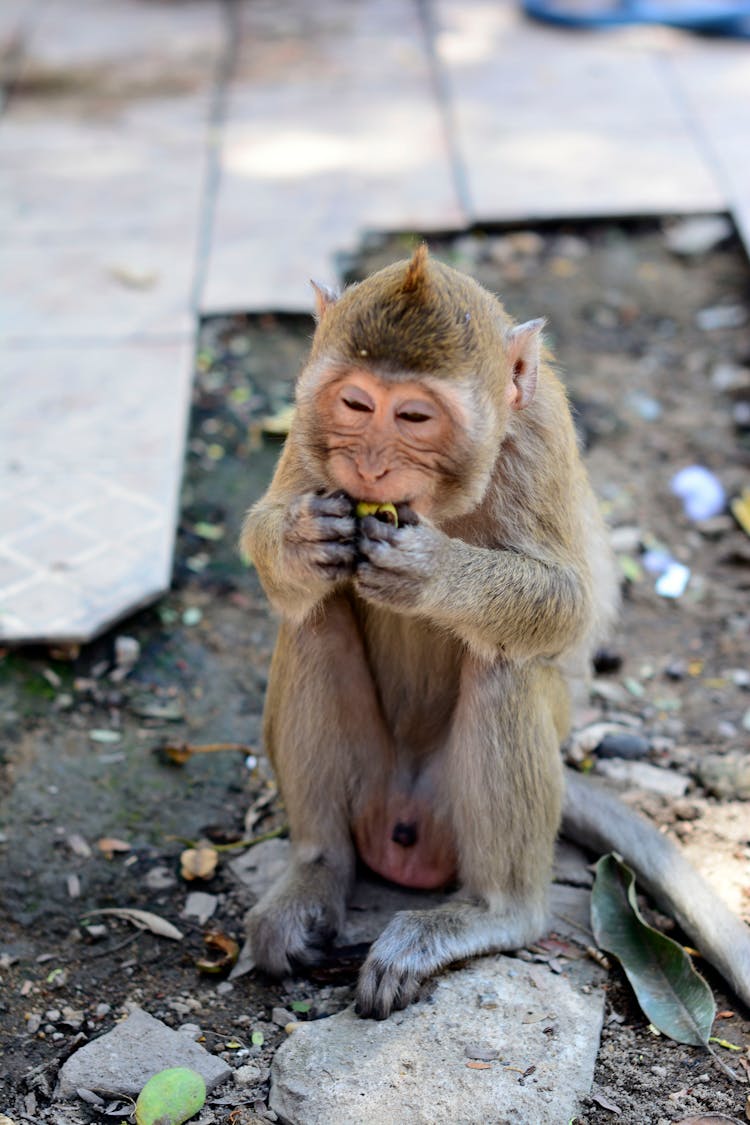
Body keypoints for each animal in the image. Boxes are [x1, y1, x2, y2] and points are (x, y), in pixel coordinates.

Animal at [240, 244, 750, 1021]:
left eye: (415, 415)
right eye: (354, 403)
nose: (369, 465)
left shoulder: (541, 436)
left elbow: (569, 604)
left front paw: (429, 570)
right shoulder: (307, 427)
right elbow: (277, 552)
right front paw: (303, 537)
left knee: (503, 663)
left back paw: (492, 913)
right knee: (314, 618)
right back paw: (316, 872)